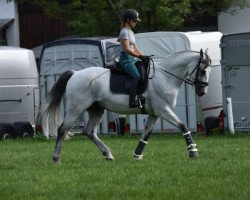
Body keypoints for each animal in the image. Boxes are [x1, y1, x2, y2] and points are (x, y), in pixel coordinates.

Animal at [39, 49, 211, 163]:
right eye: (203, 70)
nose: (202, 92)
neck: (165, 76)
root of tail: (75, 74)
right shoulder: (163, 110)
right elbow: (183, 126)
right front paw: (193, 151)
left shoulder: (154, 113)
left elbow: (146, 134)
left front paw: (137, 154)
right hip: (76, 109)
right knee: (63, 129)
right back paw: (56, 158)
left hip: (97, 110)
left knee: (89, 131)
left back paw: (108, 154)